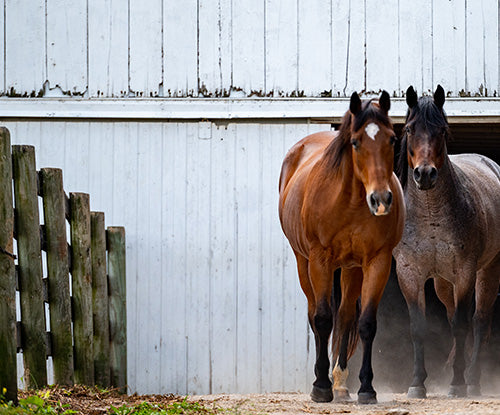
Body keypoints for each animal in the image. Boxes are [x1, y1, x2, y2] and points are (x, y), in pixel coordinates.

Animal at [280, 91, 404, 404]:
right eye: (356, 142)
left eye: (392, 139)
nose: (381, 199)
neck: (349, 201)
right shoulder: (319, 260)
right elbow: (323, 319)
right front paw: (320, 386)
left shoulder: (377, 261)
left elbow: (366, 323)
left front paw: (366, 388)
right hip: (303, 262)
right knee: (314, 313)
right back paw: (323, 378)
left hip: (351, 268)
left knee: (346, 316)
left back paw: (341, 384)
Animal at [394, 85, 500, 400]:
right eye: (409, 129)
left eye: (441, 130)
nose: (425, 174)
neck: (430, 214)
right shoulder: (409, 273)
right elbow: (418, 327)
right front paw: (417, 383)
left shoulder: (465, 272)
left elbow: (462, 325)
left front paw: (458, 383)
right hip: (443, 282)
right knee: (455, 313)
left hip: (487, 271)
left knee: (479, 320)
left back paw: (473, 379)